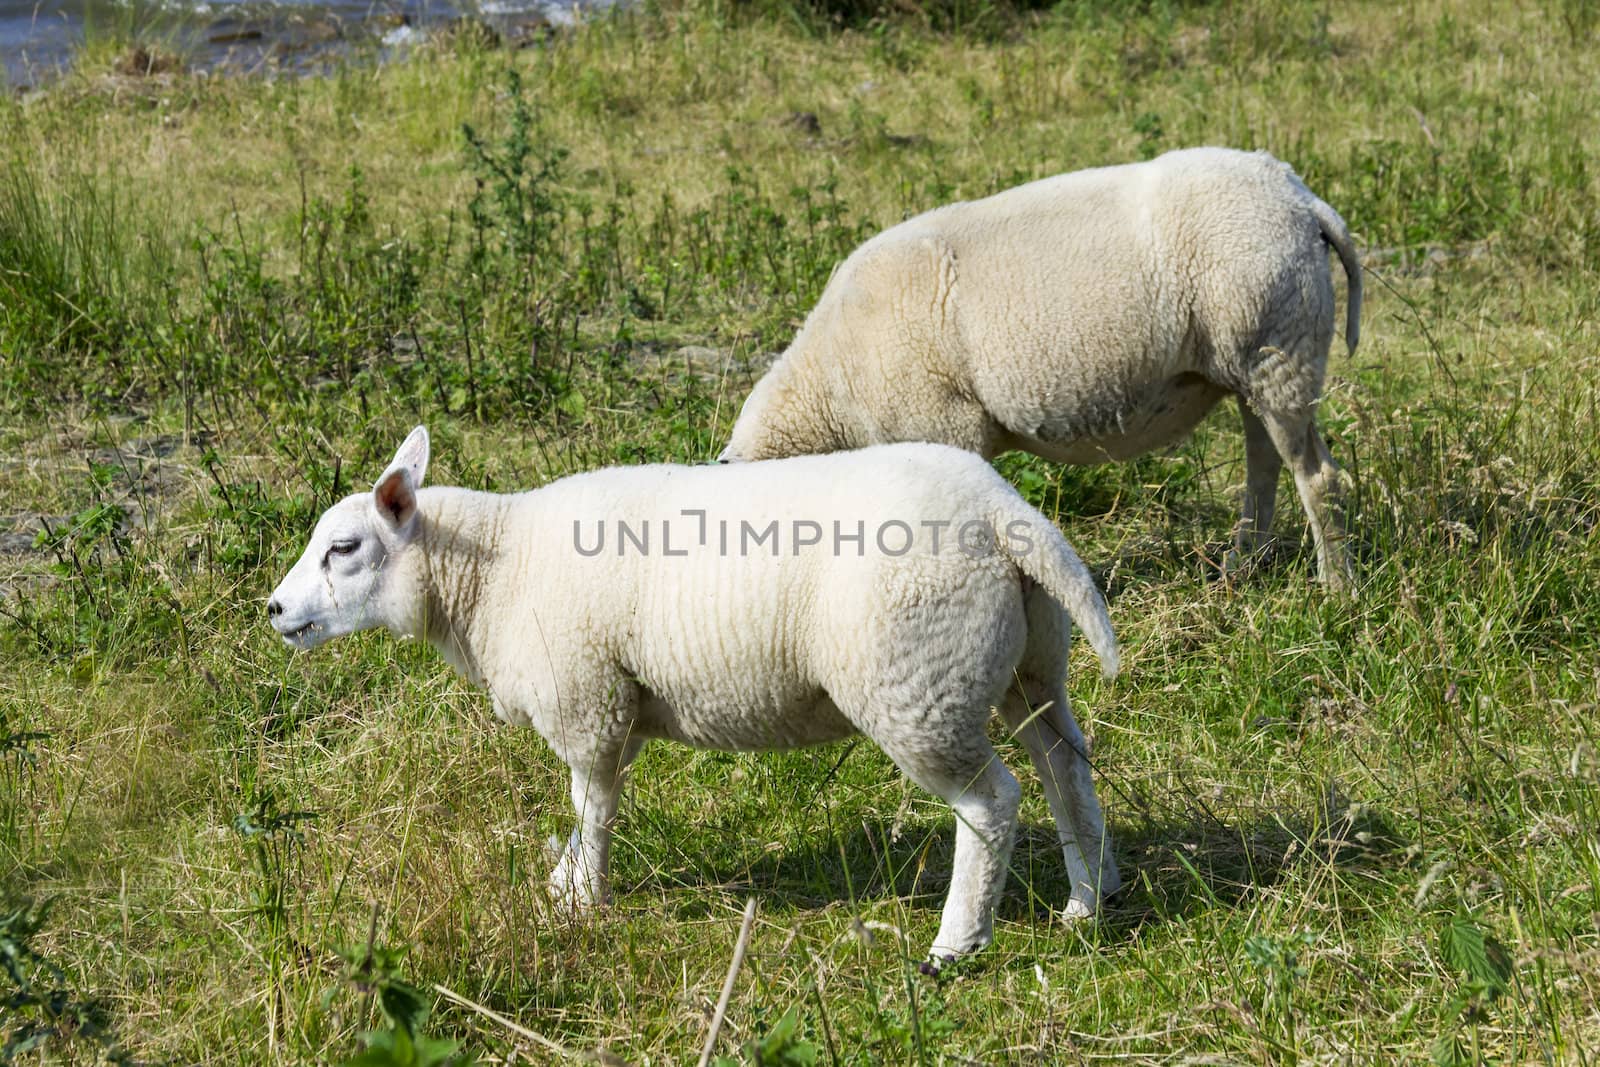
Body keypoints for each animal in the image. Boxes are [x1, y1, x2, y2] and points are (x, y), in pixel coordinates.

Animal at [272, 425, 1126, 959]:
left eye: (343, 548)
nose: (276, 610)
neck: (491, 571)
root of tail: (1004, 513)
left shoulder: (587, 698)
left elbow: (593, 804)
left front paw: (584, 901)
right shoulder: (620, 704)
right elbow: (592, 802)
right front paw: (566, 881)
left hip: (917, 681)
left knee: (992, 801)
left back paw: (957, 942)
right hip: (1028, 664)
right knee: (1065, 765)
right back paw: (1089, 899)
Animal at [726, 146, 1363, 591]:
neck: (828, 391)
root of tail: (1302, 201)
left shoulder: (944, 427)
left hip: (1277, 348)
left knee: (1317, 478)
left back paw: (1337, 589)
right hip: (1260, 357)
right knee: (1264, 465)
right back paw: (1242, 564)